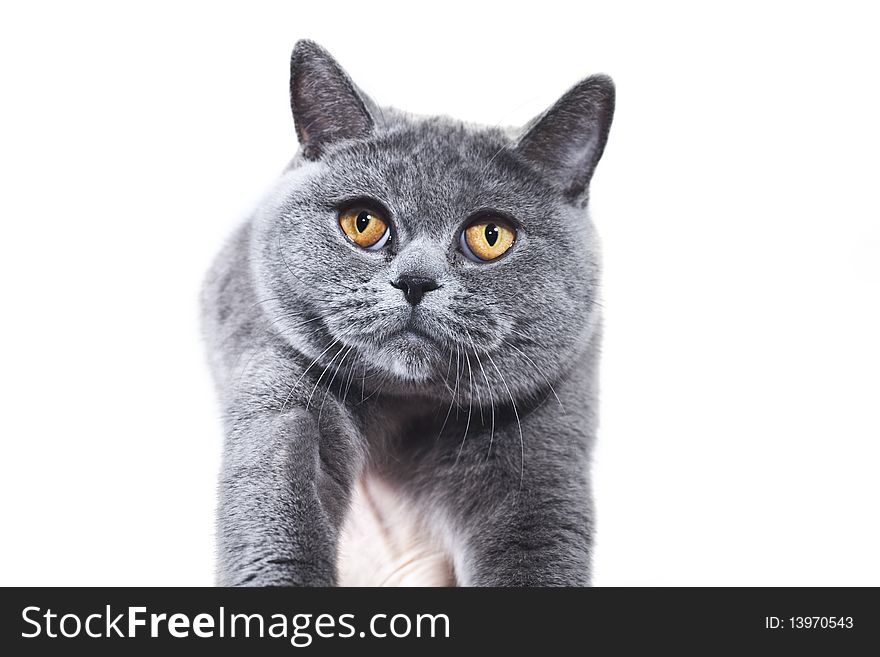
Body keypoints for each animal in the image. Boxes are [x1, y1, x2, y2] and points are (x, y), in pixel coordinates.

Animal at [199, 41, 612, 584]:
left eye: (491, 235)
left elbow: (536, 539)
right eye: (363, 223)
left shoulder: (545, 433)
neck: (405, 406)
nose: (416, 281)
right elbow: (278, 489)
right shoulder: (283, 378)